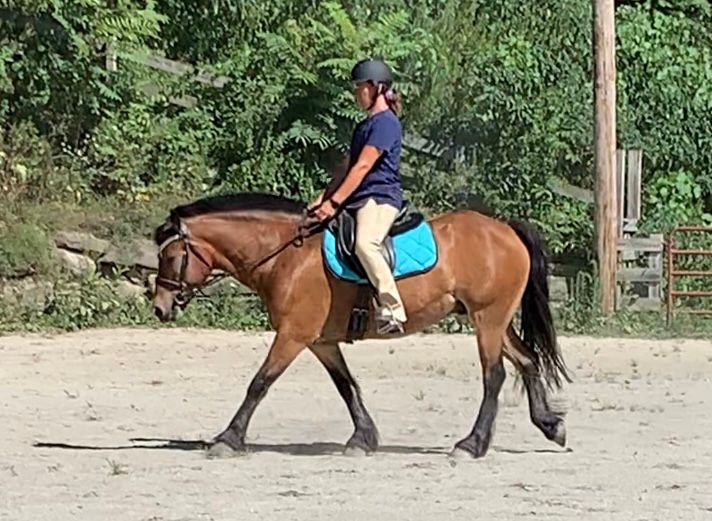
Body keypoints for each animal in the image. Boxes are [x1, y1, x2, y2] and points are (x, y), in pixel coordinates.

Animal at [153, 190, 572, 456]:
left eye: (170, 257)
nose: (159, 308)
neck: (286, 254)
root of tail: (504, 228)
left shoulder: (293, 334)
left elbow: (260, 383)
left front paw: (228, 438)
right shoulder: (320, 340)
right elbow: (346, 386)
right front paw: (363, 438)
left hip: (487, 319)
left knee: (494, 375)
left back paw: (471, 445)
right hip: (493, 320)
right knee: (527, 360)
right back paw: (551, 426)